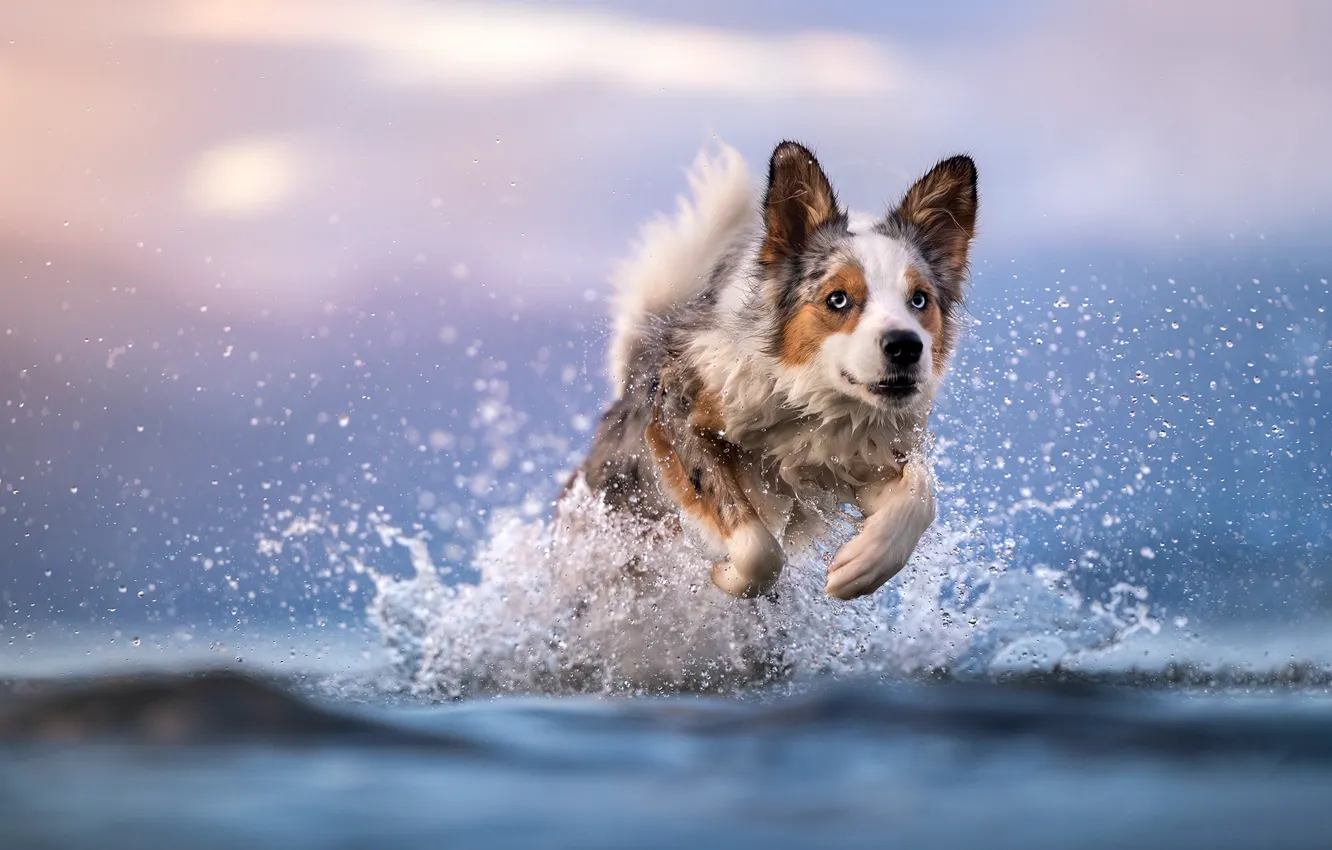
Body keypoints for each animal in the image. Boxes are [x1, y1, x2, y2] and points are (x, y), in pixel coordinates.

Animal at [562, 139, 980, 602]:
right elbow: (756, 544)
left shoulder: (860, 453)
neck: (805, 400)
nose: (906, 346)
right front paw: (726, 575)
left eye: (919, 299)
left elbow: (921, 493)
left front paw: (863, 564)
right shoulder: (676, 413)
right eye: (837, 298)